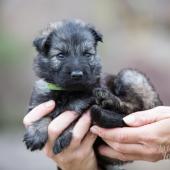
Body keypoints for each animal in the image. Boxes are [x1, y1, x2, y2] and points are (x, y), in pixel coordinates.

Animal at [23, 19, 162, 170]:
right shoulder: (39, 102)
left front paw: (63, 136)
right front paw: (36, 134)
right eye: (60, 55)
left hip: (129, 76)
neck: (67, 91)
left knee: (133, 108)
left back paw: (108, 99)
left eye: (87, 54)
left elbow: (74, 118)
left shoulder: (86, 104)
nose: (77, 75)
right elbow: (43, 115)